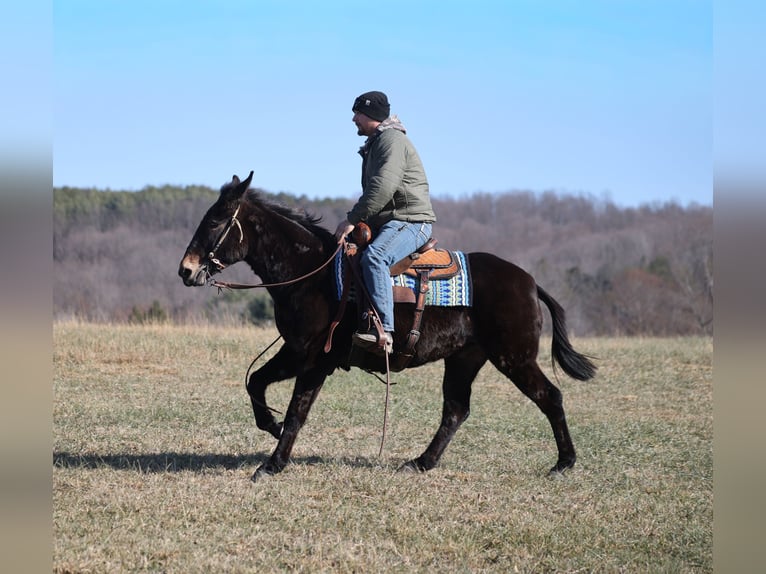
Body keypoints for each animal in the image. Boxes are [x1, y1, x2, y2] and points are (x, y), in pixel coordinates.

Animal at [178, 172, 596, 482]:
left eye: (215, 221)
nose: (186, 270)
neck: (312, 272)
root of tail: (529, 282)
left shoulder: (314, 359)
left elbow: (298, 409)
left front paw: (272, 464)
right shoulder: (294, 351)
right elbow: (256, 382)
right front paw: (272, 426)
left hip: (515, 358)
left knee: (550, 397)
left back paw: (563, 463)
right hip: (465, 359)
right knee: (456, 409)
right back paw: (421, 462)